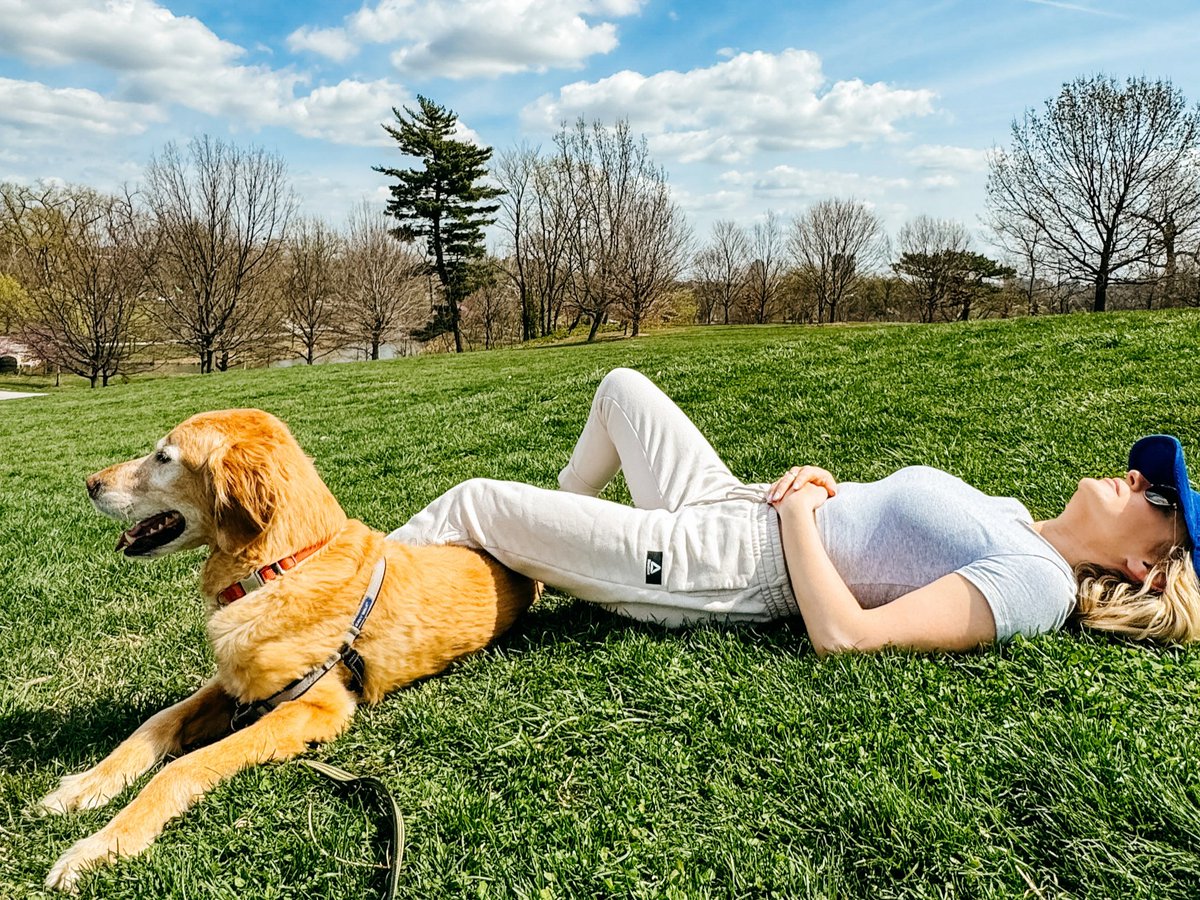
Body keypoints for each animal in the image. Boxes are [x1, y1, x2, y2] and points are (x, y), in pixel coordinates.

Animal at [41, 412, 535, 892]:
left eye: (164, 457)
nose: (89, 483)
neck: (277, 568)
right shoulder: (235, 683)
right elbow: (156, 723)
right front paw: (84, 786)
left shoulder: (313, 707)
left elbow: (183, 766)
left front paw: (101, 846)